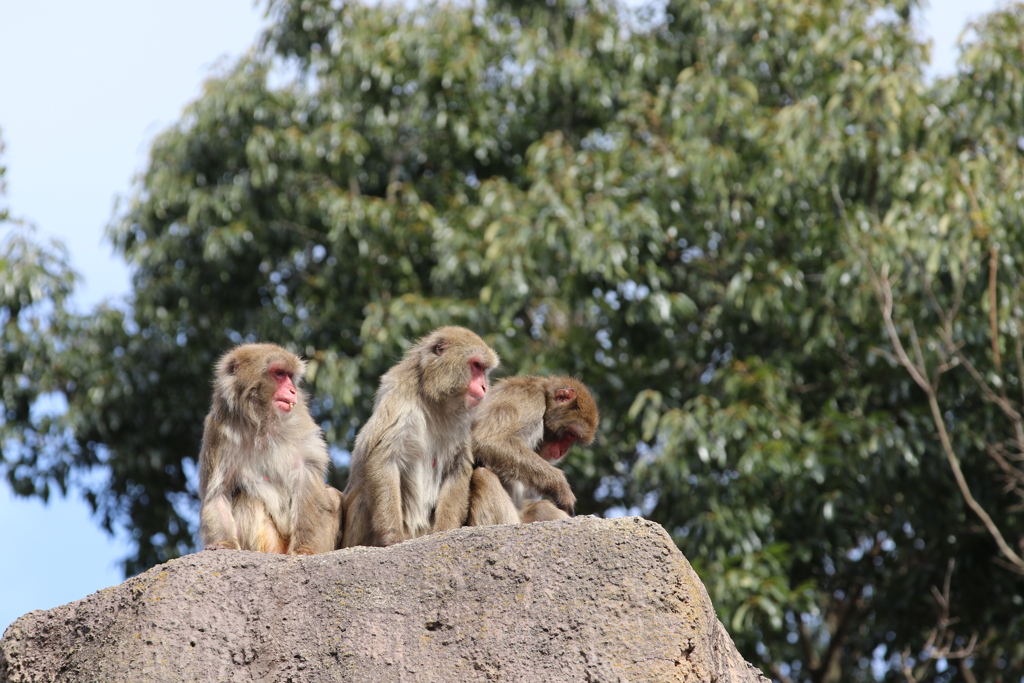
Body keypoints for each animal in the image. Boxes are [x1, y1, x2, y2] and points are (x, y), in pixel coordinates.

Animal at [197, 342, 342, 557]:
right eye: (280, 373)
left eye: (290, 376)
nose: (292, 390)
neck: (261, 423)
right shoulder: (218, 432)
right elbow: (218, 493)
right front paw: (224, 544)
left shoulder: (301, 424)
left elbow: (307, 476)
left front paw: (305, 551)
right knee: (249, 499)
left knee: (330, 495)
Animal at [342, 327, 501, 548]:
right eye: (476, 366)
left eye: (484, 370)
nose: (485, 387)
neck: (435, 398)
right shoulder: (400, 396)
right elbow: (384, 457)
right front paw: (392, 537)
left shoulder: (463, 421)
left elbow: (457, 466)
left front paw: (445, 531)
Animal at [466, 376, 598, 528]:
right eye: (571, 434)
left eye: (573, 438)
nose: (562, 451)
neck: (545, 394)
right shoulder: (529, 398)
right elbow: (489, 440)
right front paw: (561, 487)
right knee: (483, 475)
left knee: (541, 508)